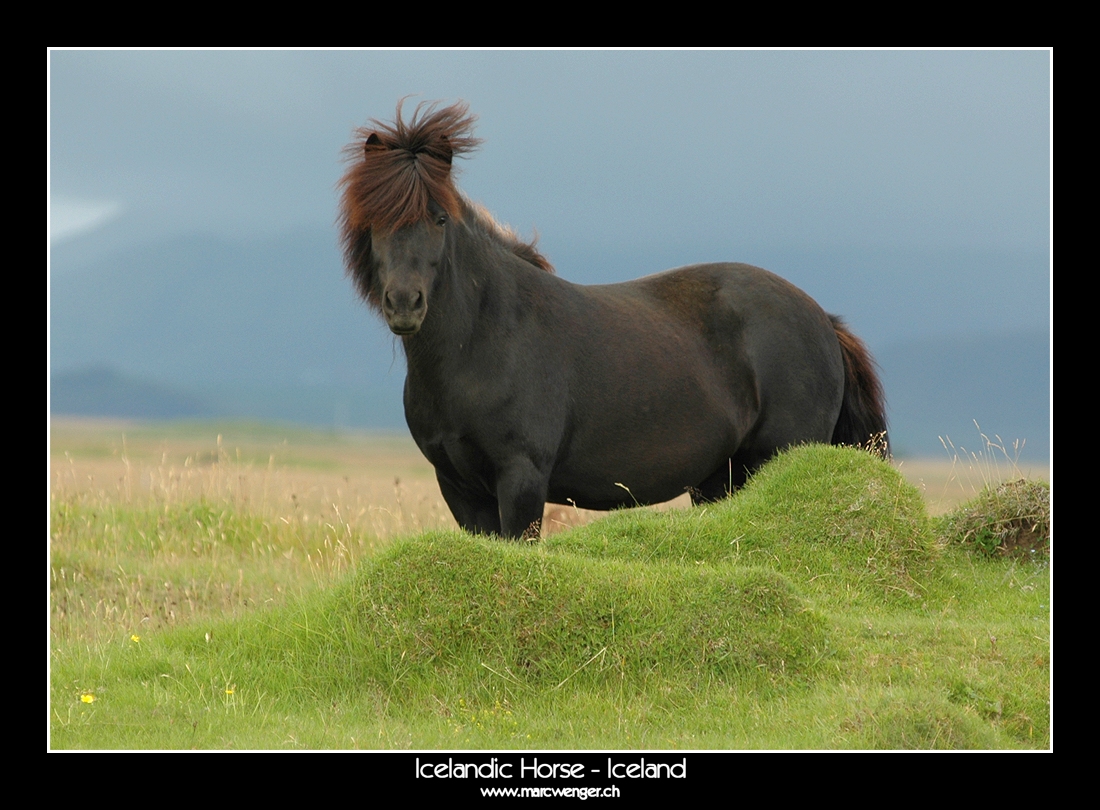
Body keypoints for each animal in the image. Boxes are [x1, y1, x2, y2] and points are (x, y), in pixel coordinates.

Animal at [338, 101, 888, 541]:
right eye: (374, 220)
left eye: (439, 218)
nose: (404, 303)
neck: (483, 342)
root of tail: (823, 320)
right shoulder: (458, 488)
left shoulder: (521, 480)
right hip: (720, 479)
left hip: (779, 458)